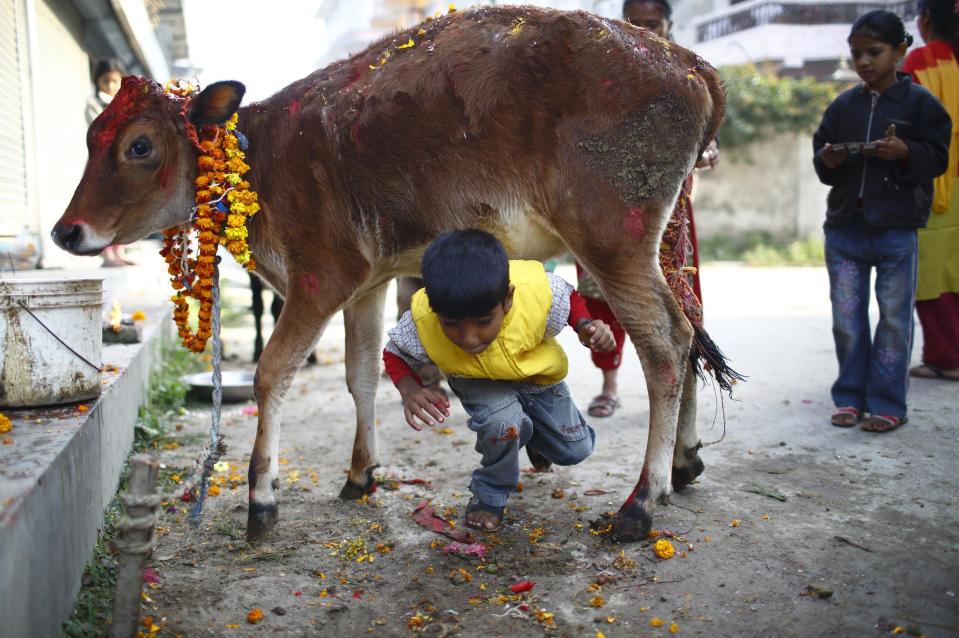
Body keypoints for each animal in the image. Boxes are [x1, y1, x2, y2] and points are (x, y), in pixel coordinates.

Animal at [52, 7, 728, 544]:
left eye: (140, 145)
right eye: (88, 137)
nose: (66, 231)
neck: (262, 160)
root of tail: (688, 61)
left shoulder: (322, 275)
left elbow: (273, 373)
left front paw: (261, 500)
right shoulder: (368, 281)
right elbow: (361, 375)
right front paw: (361, 474)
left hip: (615, 239)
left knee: (666, 343)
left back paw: (641, 504)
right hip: (661, 241)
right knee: (694, 328)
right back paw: (685, 463)